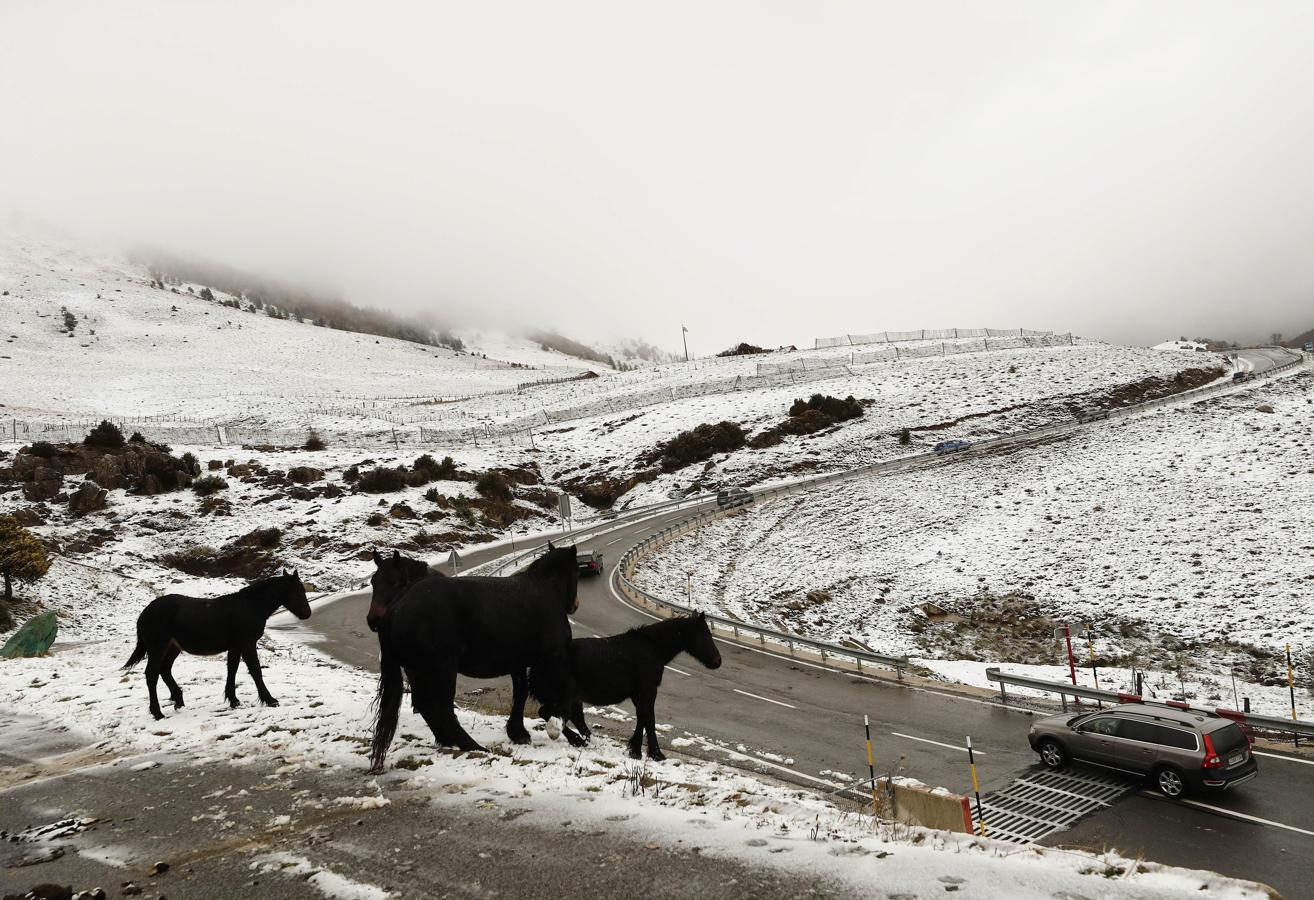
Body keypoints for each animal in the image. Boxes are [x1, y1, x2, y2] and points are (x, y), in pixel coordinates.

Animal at [125, 572, 315, 720]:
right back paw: (157, 713)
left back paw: (178, 700)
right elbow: (255, 671)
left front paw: (234, 700)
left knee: (165, 670)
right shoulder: (247, 643)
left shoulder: (236, 646)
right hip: (158, 647)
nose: (307, 613)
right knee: (152, 675)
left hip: (172, 647)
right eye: (297, 591)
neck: (250, 606)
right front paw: (270, 700)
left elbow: (232, 669)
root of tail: (145, 613)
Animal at [367, 543, 578, 767]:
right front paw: (566, 731)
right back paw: (471, 745)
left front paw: (518, 732)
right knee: (440, 707)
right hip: (443, 670)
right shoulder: (552, 657)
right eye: (576, 572)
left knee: (426, 705)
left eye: (393, 581)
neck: (546, 591)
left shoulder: (518, 663)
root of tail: (396, 607)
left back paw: (448, 740)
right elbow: (564, 692)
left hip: (420, 670)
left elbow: (520, 693)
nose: (575, 605)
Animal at [530, 609, 725, 756]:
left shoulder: (639, 694)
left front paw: (635, 750)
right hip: (563, 696)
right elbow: (649, 719)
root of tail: (536, 664)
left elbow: (642, 717)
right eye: (705, 634)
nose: (717, 661)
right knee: (550, 714)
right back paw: (578, 740)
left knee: (572, 717)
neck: (651, 648)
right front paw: (655, 754)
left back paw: (586, 740)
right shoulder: (648, 690)